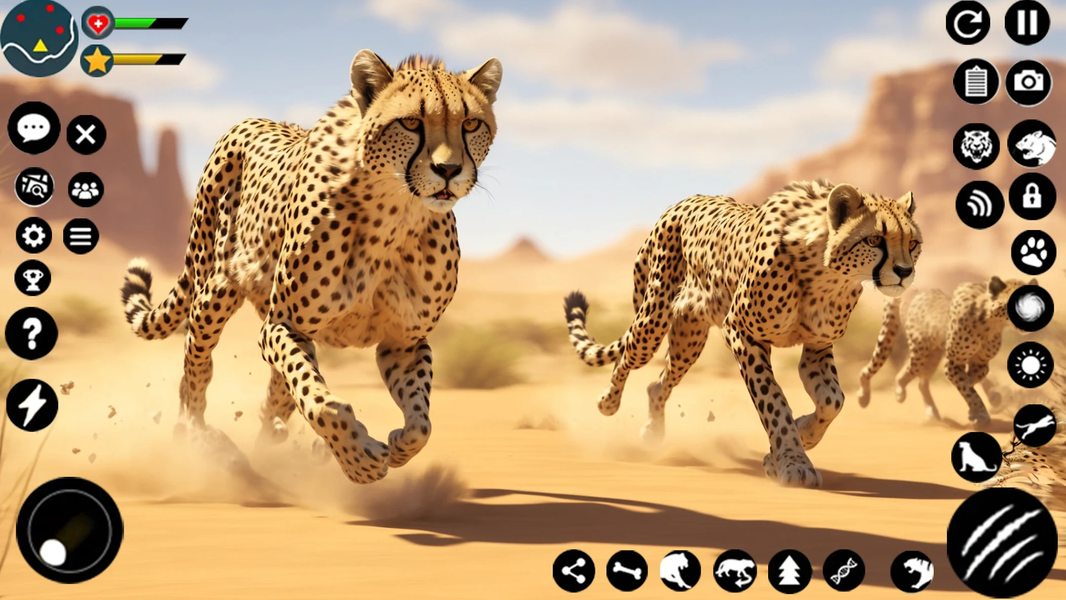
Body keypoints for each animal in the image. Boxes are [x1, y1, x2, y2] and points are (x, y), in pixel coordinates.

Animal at [120, 50, 503, 483]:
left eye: (470, 123)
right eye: (410, 122)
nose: (449, 171)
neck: (396, 214)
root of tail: (249, 120)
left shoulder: (403, 341)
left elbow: (422, 425)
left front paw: (395, 445)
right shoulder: (283, 325)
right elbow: (320, 403)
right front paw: (358, 460)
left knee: (274, 398)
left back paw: (273, 443)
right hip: (212, 294)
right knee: (194, 375)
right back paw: (200, 441)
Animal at [563, 179, 921, 488]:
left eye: (913, 243)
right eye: (874, 240)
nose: (905, 272)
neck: (826, 272)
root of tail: (685, 200)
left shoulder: (817, 348)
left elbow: (833, 401)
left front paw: (799, 439)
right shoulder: (741, 332)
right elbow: (773, 401)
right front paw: (792, 462)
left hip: (689, 338)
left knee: (658, 383)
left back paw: (652, 432)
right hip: (652, 320)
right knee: (627, 356)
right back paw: (608, 402)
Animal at [857, 276, 1033, 425]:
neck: (991, 322)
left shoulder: (980, 364)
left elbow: (970, 382)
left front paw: (977, 408)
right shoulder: (953, 362)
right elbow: (968, 387)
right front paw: (980, 413)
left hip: (933, 353)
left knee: (920, 381)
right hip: (921, 351)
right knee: (900, 371)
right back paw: (870, 396)